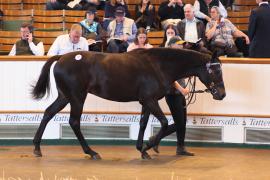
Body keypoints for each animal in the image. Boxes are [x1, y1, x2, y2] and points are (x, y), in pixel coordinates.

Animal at [31, 47, 226, 159]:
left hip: (65, 97)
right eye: (216, 71)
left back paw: (37, 148)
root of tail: (61, 57)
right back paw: (91, 152)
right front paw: (149, 145)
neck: (158, 65)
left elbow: (143, 123)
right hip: (77, 97)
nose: (222, 94)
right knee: (74, 122)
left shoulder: (147, 101)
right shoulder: (150, 100)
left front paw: (143, 149)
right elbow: (164, 122)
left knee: (48, 113)